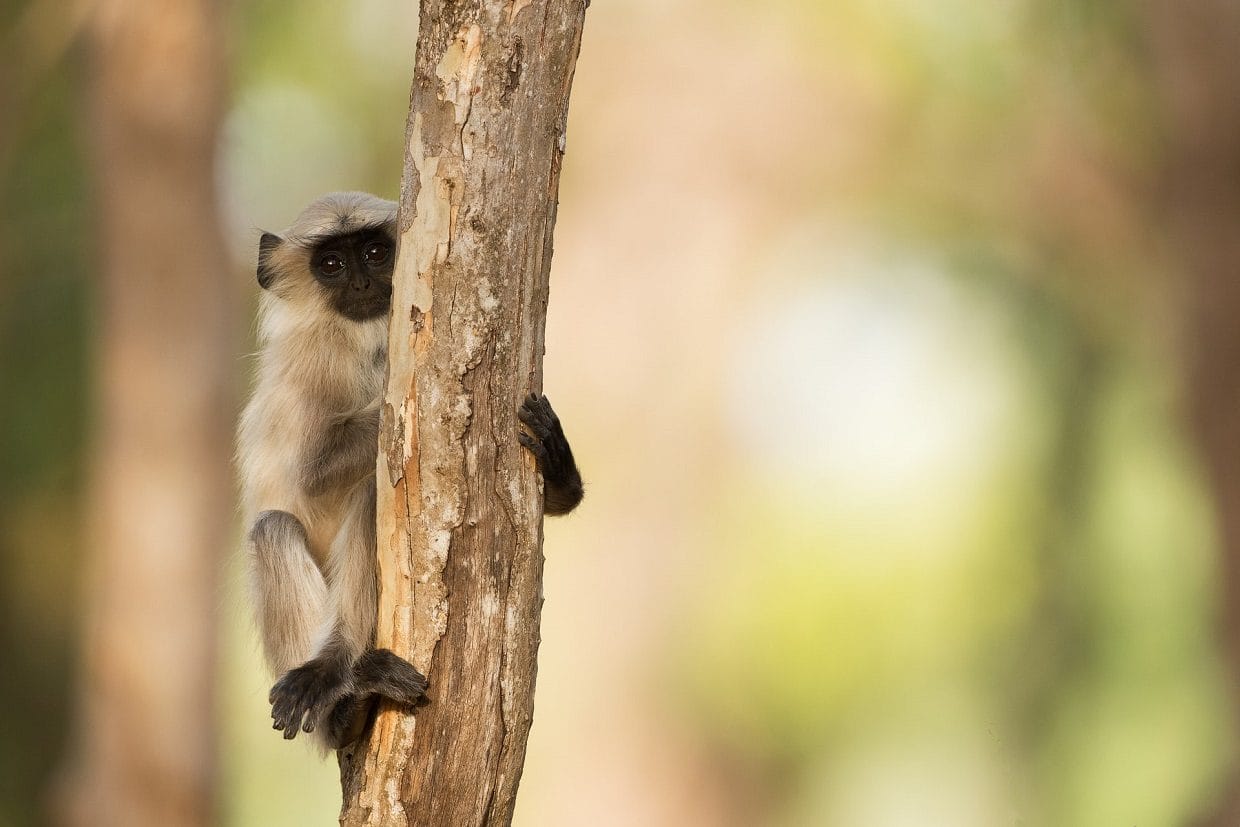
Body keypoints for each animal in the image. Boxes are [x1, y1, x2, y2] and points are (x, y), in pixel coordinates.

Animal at [239, 194, 582, 748]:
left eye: (376, 253)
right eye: (331, 264)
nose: (361, 283)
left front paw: (556, 461)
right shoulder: (315, 361)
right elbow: (312, 474)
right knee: (284, 523)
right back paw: (339, 684)